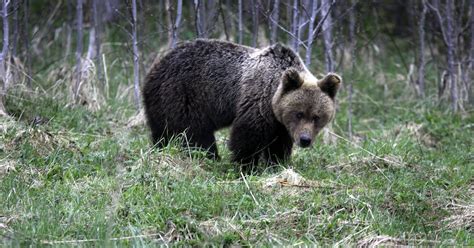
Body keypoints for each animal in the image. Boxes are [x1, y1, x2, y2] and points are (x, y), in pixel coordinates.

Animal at [142, 39, 340, 165]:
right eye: (299, 113)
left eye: (316, 117)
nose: (305, 140)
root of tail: (154, 68)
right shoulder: (258, 101)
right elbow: (247, 136)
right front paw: (246, 164)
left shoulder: (280, 122)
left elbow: (279, 142)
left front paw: (277, 162)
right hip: (183, 95)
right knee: (195, 134)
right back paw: (210, 157)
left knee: (163, 132)